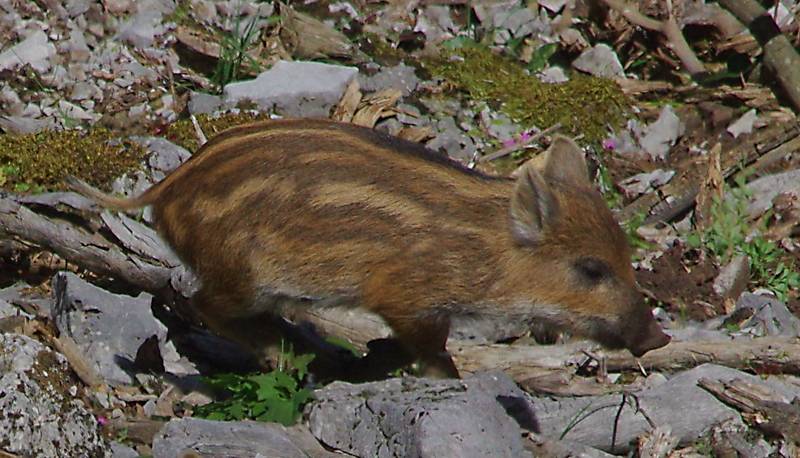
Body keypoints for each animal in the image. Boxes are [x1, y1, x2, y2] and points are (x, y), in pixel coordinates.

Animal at [69, 118, 670, 378]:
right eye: (590, 269)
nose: (659, 338)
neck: (480, 249)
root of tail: (163, 189)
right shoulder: (407, 297)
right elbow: (434, 353)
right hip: (240, 274)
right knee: (201, 304)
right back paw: (281, 355)